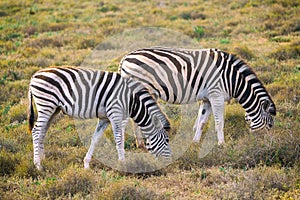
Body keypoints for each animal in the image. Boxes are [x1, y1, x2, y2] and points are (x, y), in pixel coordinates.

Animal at [28, 66, 173, 170]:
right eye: (166, 140)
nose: (170, 163)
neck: (131, 101)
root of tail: (34, 76)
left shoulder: (105, 118)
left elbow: (95, 138)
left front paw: (86, 164)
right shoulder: (115, 113)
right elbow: (119, 139)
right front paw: (123, 163)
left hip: (53, 109)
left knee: (42, 132)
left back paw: (43, 158)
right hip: (46, 105)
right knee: (36, 131)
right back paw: (38, 165)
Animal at [119, 47, 276, 145]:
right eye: (270, 124)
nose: (268, 142)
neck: (232, 79)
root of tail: (125, 58)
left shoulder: (207, 99)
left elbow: (202, 122)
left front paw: (195, 142)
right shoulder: (216, 96)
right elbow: (219, 123)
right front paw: (221, 144)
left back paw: (141, 143)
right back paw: (141, 143)